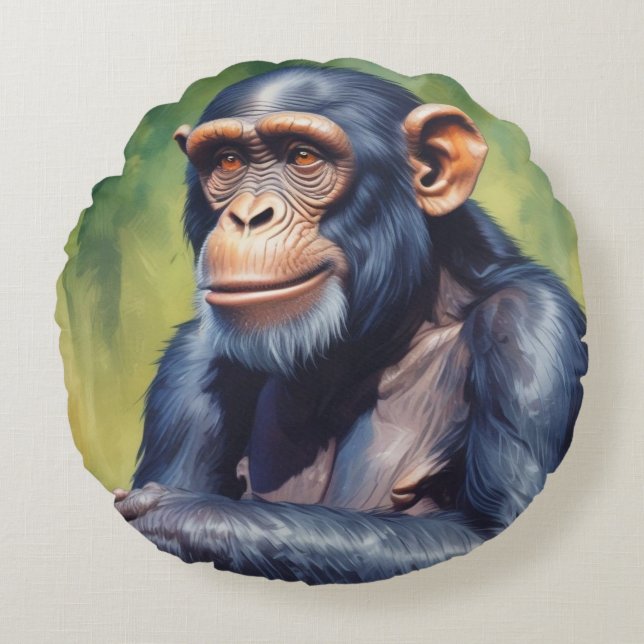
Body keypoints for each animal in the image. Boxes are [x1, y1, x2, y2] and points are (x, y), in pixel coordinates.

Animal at [114, 66, 588, 585]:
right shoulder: (190, 359)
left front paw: (186, 515)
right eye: (228, 162)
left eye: (303, 156)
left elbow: (482, 528)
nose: (247, 216)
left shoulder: (528, 326)